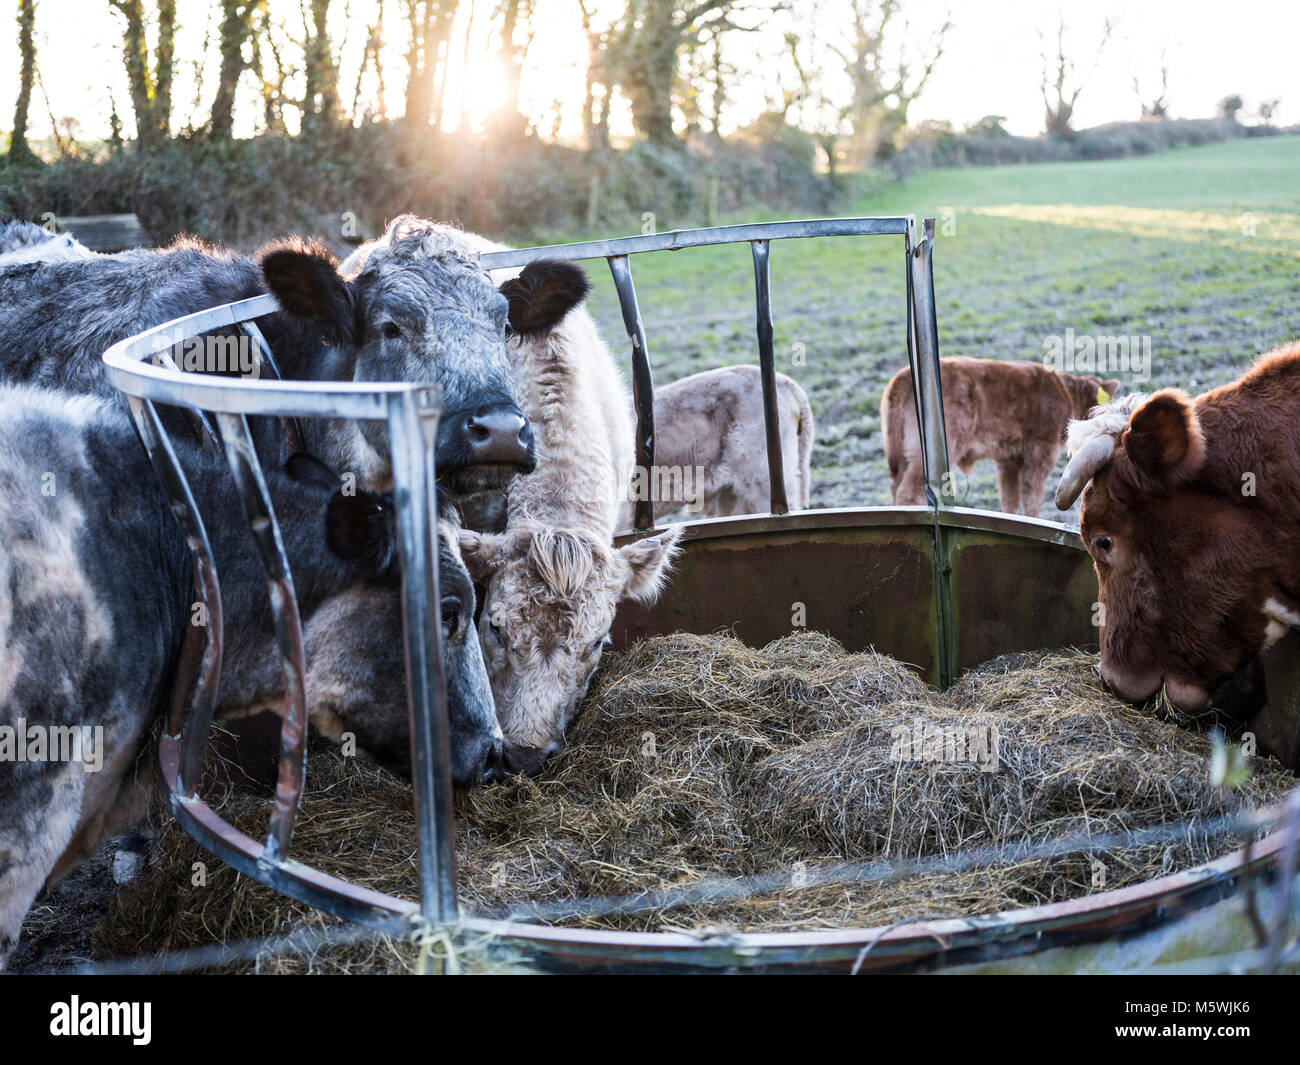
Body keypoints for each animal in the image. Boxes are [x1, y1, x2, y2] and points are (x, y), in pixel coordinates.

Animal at [882, 357, 1121, 516]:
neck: (1066, 394)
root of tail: (902, 376)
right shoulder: (1041, 452)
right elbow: (1031, 495)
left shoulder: (1008, 459)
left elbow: (1009, 497)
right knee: (907, 491)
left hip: (904, 456)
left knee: (895, 487)